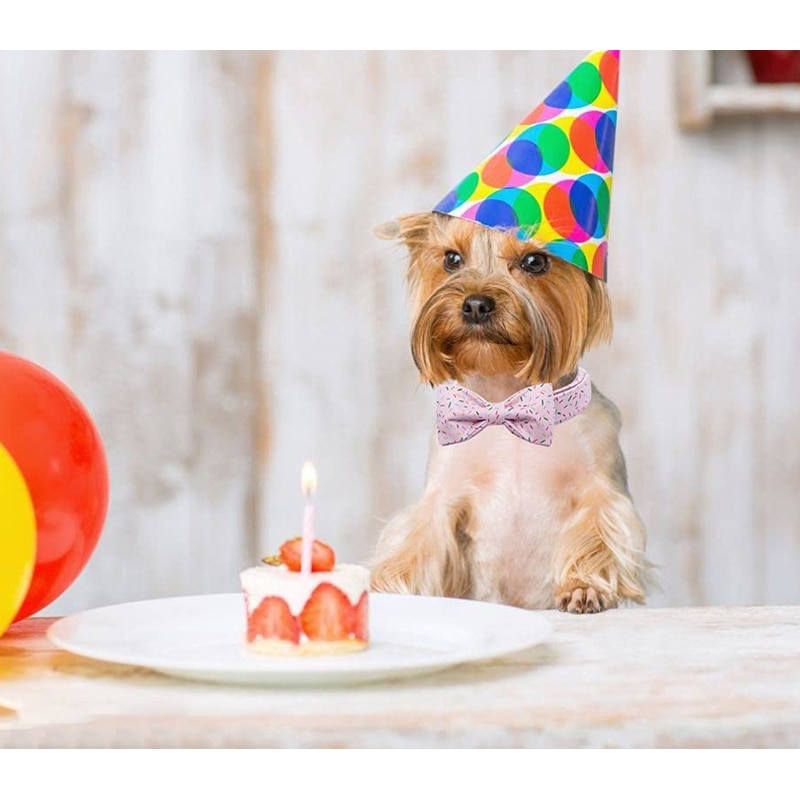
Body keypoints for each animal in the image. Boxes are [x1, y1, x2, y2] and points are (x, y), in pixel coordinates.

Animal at [372, 212, 648, 612]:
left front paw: (584, 587)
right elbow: (418, 538)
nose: (475, 304)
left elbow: (598, 531)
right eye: (451, 259)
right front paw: (389, 585)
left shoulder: (601, 480)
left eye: (534, 262)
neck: (504, 402)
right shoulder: (444, 489)